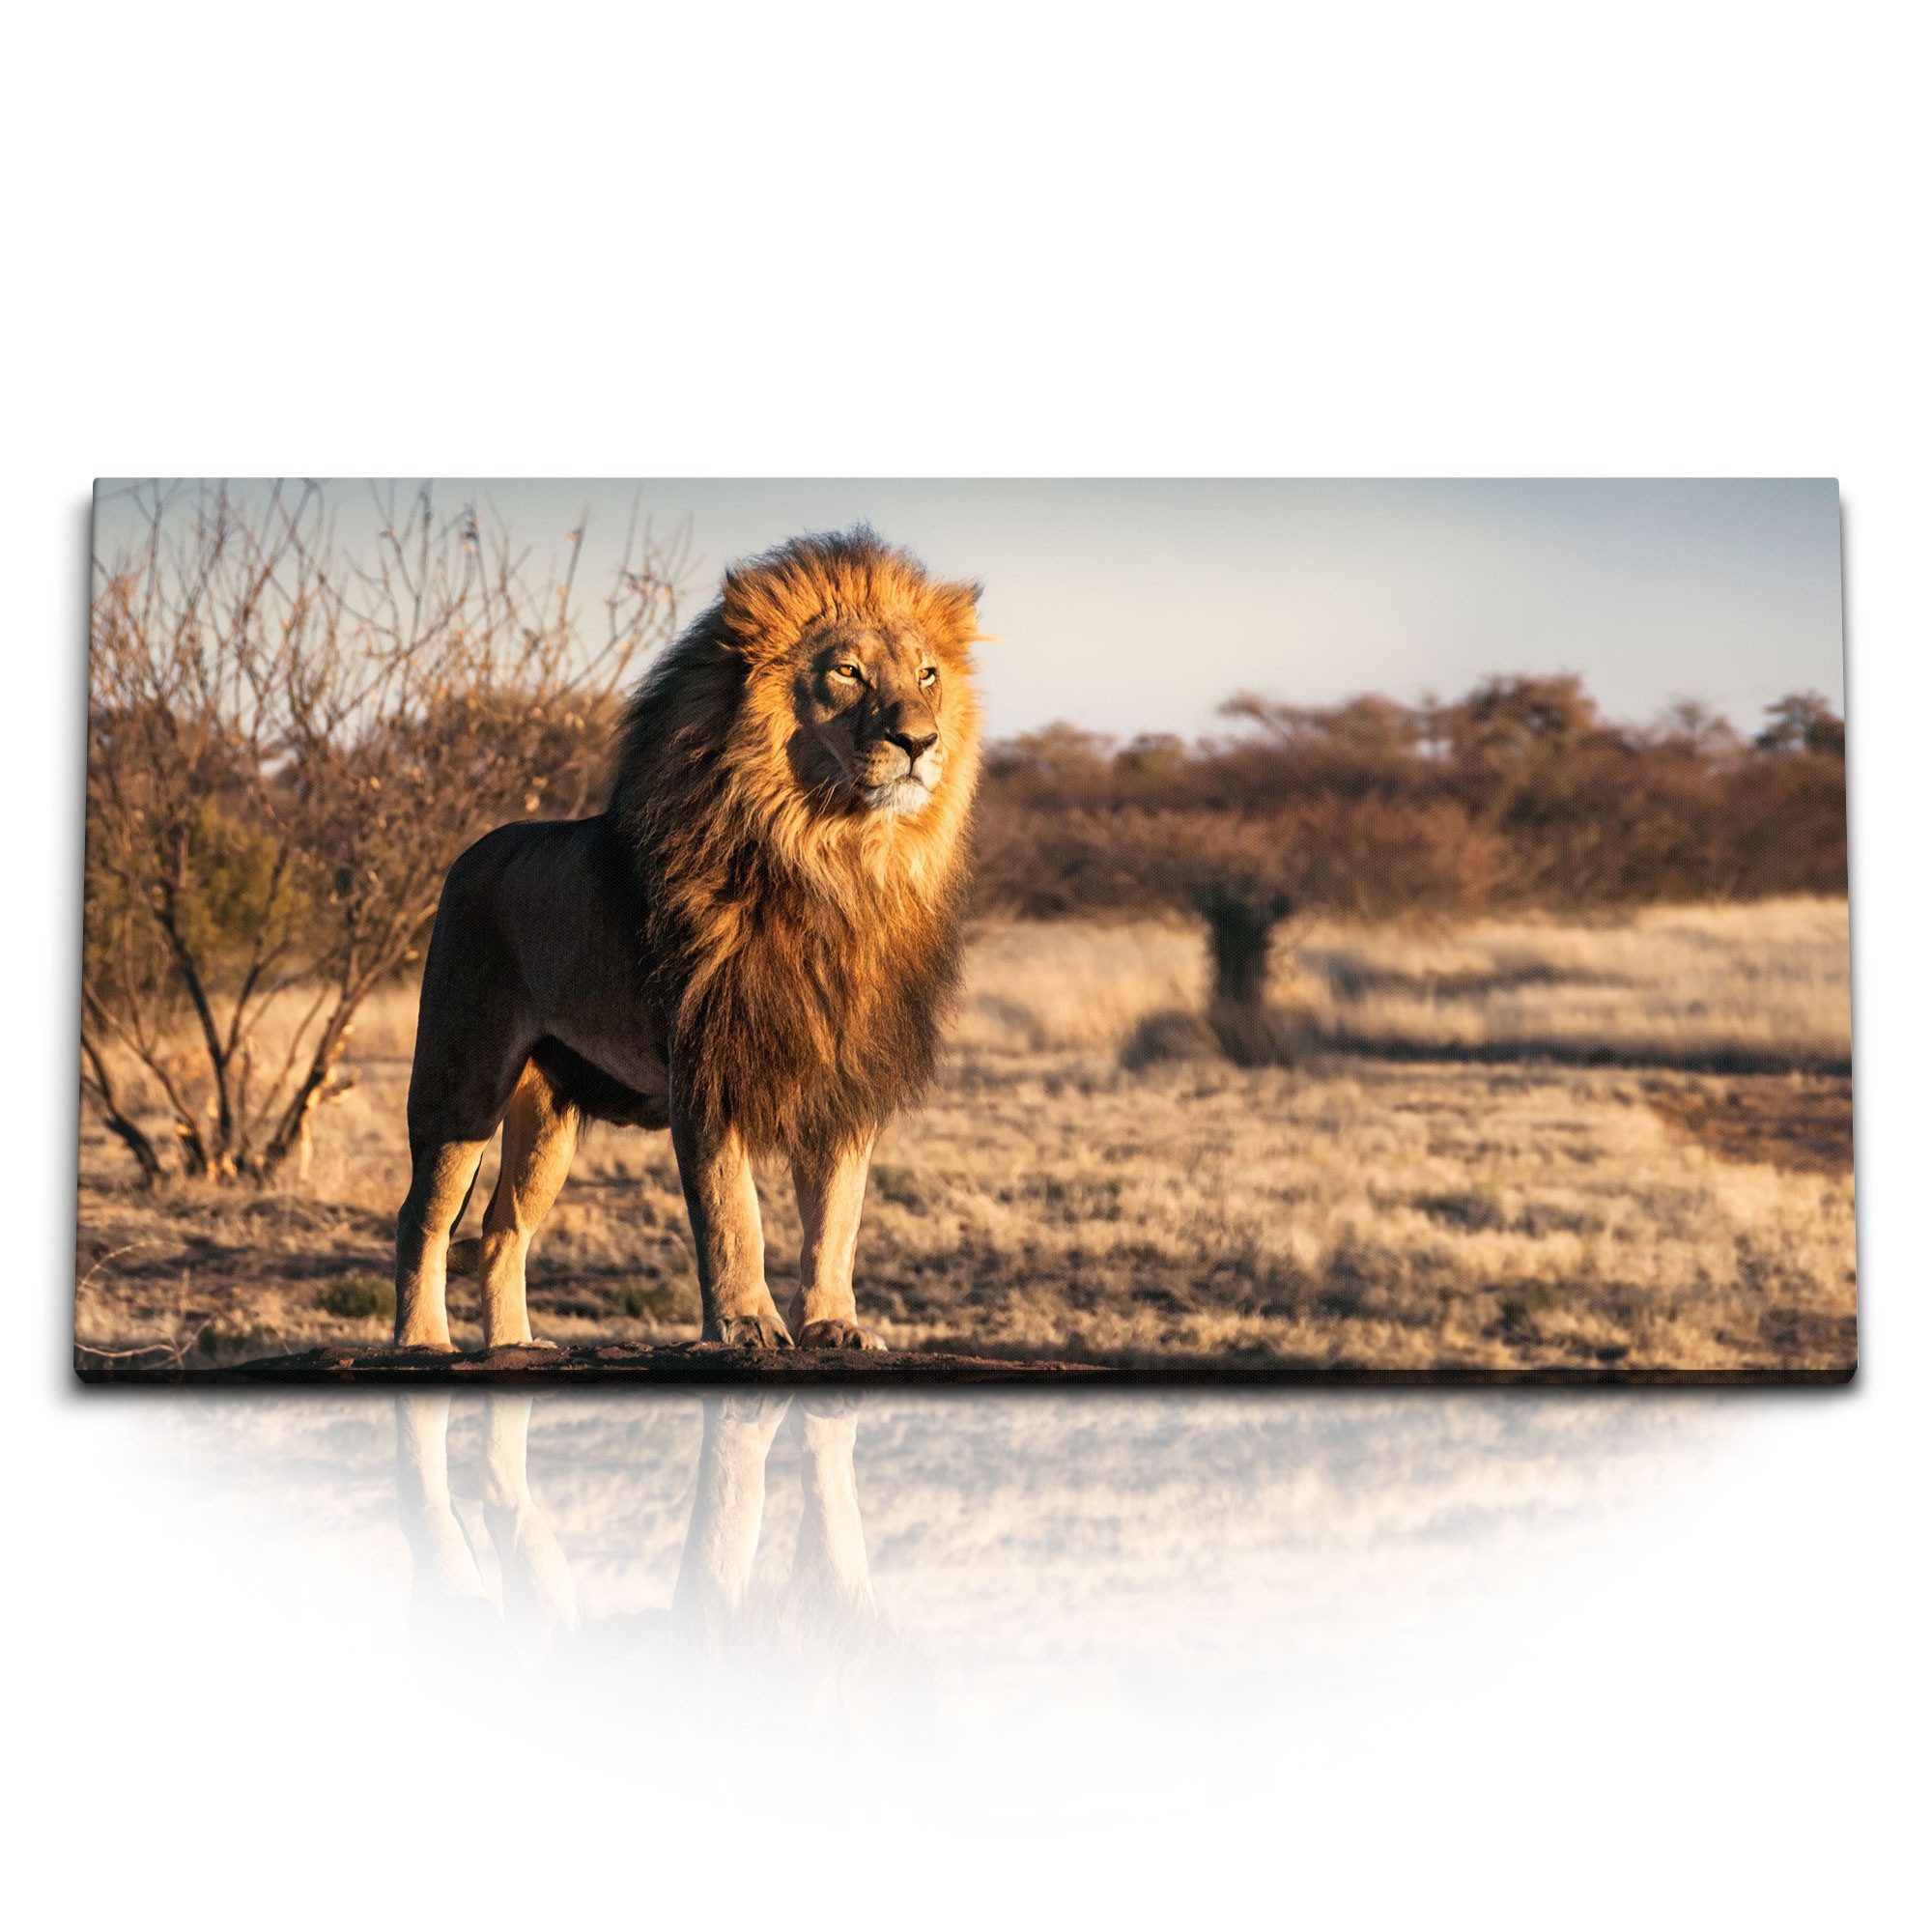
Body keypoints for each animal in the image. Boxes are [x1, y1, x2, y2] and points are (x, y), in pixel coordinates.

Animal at [393, 528, 983, 1353]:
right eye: (847, 671)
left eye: (927, 674)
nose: (920, 740)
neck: (834, 859)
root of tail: (471, 852)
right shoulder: (707, 1063)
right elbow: (734, 1214)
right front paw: (746, 1324)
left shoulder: (845, 1075)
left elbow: (838, 1218)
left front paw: (833, 1324)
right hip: (461, 1083)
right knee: (423, 1217)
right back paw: (422, 1341)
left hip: (548, 1117)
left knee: (503, 1230)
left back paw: (515, 1346)